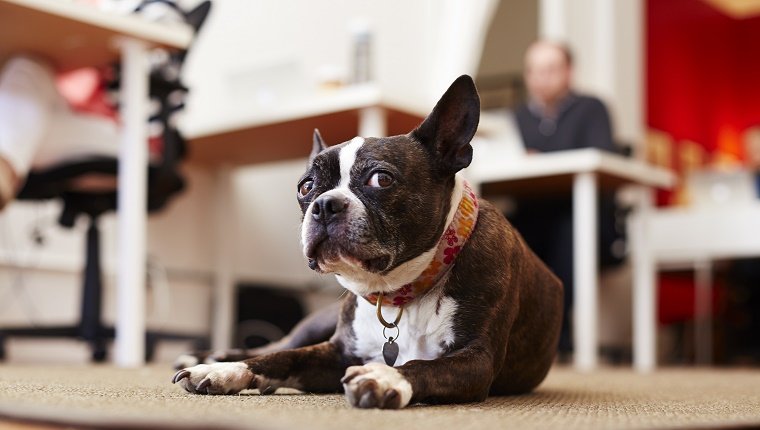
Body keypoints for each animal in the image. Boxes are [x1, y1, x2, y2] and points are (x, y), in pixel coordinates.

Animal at [174, 75, 564, 408]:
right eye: (305, 186)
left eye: (381, 179)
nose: (324, 205)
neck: (398, 294)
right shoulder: (336, 351)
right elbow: (280, 358)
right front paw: (225, 372)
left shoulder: (476, 361)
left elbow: (424, 366)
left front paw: (385, 377)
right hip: (315, 325)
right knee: (278, 343)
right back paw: (210, 356)